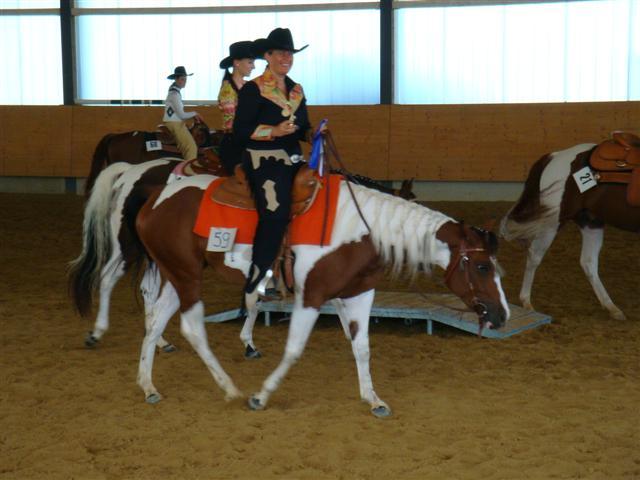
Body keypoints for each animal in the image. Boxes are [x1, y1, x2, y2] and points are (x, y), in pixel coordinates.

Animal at [101, 172, 510, 416]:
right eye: (482, 267)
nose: (502, 314)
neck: (361, 229)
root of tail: (156, 193)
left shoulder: (358, 295)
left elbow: (362, 348)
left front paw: (373, 399)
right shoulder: (311, 296)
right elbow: (294, 349)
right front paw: (261, 395)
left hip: (176, 274)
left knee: (156, 321)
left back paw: (148, 386)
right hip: (186, 275)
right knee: (190, 327)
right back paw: (230, 388)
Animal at [500, 131, 640, 318]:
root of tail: (555, 156)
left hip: (591, 222)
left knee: (588, 262)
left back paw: (612, 307)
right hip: (552, 223)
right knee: (534, 256)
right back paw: (527, 302)